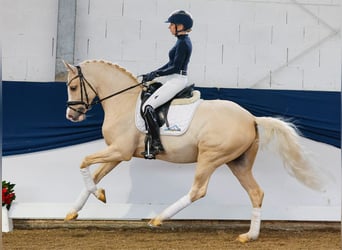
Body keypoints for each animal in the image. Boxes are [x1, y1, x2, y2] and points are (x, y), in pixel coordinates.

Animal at [62, 60, 324, 242]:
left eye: (73, 87)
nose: (71, 116)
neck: (123, 101)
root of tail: (250, 118)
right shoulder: (117, 153)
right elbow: (95, 175)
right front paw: (76, 209)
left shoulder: (120, 151)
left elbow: (83, 162)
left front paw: (98, 195)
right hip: (238, 162)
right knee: (256, 193)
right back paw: (250, 236)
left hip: (210, 157)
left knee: (198, 190)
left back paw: (158, 218)